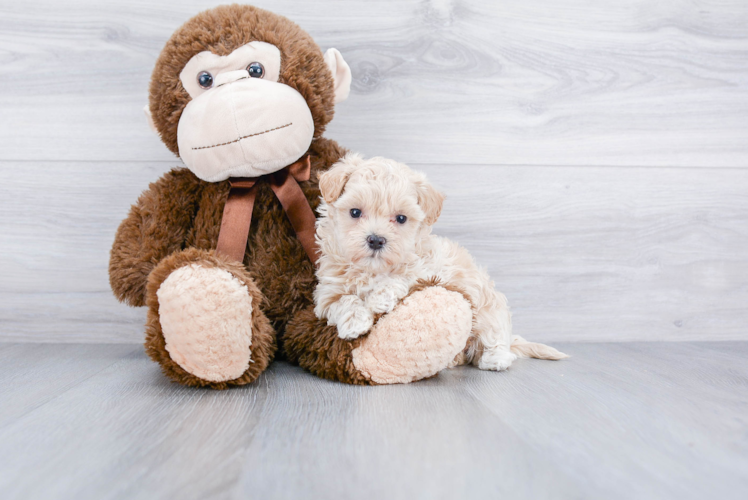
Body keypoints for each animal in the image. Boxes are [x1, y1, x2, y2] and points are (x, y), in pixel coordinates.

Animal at [314, 154, 568, 370]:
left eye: (401, 218)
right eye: (355, 212)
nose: (376, 240)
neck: (372, 270)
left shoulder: (432, 270)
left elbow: (402, 277)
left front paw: (379, 298)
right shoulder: (326, 294)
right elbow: (343, 300)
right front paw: (354, 321)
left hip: (490, 311)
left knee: (496, 338)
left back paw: (494, 358)